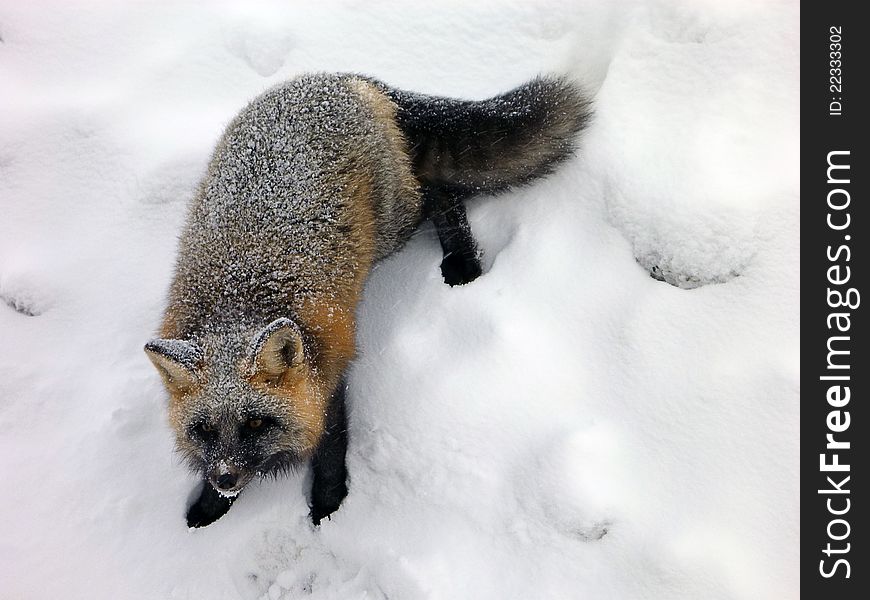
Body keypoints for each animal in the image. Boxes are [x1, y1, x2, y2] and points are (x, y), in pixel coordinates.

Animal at [145, 72, 592, 528]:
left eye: (255, 423)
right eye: (205, 429)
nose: (226, 479)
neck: (238, 303)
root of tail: (340, 78)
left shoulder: (330, 368)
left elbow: (330, 448)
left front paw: (328, 506)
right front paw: (209, 506)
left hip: (393, 226)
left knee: (440, 190)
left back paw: (463, 263)